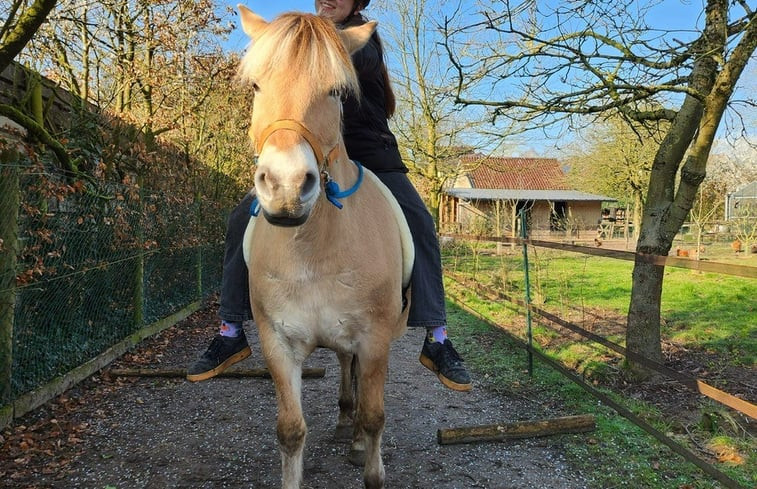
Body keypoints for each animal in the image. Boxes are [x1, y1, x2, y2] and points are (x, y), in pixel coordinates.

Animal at [236, 8, 414, 488]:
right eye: (256, 86)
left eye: (337, 91)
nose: (286, 187)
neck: (311, 252)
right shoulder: (277, 343)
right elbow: (290, 430)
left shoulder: (374, 340)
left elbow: (374, 418)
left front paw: (367, 456)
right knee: (344, 369)